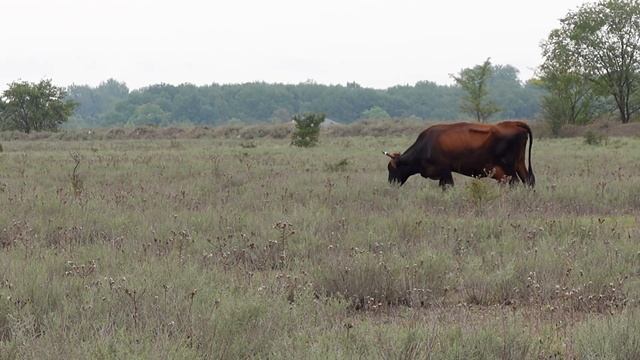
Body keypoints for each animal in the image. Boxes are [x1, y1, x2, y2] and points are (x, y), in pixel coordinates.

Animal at [384, 121, 536, 188]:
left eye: (391, 169)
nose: (390, 183)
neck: (426, 145)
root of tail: (513, 124)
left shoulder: (445, 171)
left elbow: (448, 186)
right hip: (519, 164)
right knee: (528, 180)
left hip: (509, 167)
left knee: (515, 182)